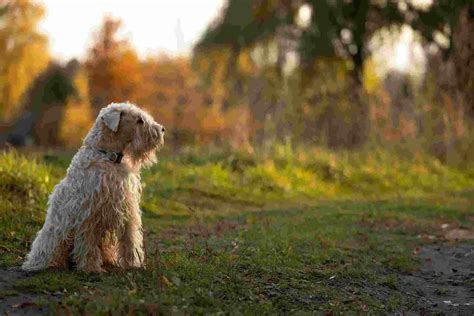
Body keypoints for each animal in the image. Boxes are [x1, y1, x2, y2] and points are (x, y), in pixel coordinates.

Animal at [22, 102, 165, 272]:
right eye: (139, 120)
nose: (162, 129)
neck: (109, 156)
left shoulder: (127, 207)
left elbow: (129, 238)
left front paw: (133, 263)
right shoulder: (89, 211)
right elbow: (88, 242)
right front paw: (91, 267)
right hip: (55, 234)